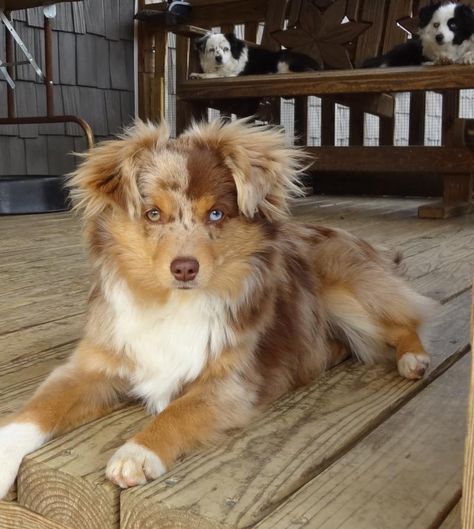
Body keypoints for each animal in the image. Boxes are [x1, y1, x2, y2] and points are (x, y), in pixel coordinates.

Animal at [0, 117, 432, 492]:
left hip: (347, 294)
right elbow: (39, 408)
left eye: (216, 213)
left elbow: (176, 411)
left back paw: (413, 359)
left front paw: (138, 452)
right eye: (152, 214)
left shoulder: (228, 383)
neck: (172, 305)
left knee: (405, 319)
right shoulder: (93, 365)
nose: (184, 268)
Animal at [188, 31, 318, 79]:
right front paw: (197, 75)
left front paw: (200, 76)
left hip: (283, 60)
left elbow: (218, 75)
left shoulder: (232, 74)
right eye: (211, 50)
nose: (218, 58)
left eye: (226, 49)